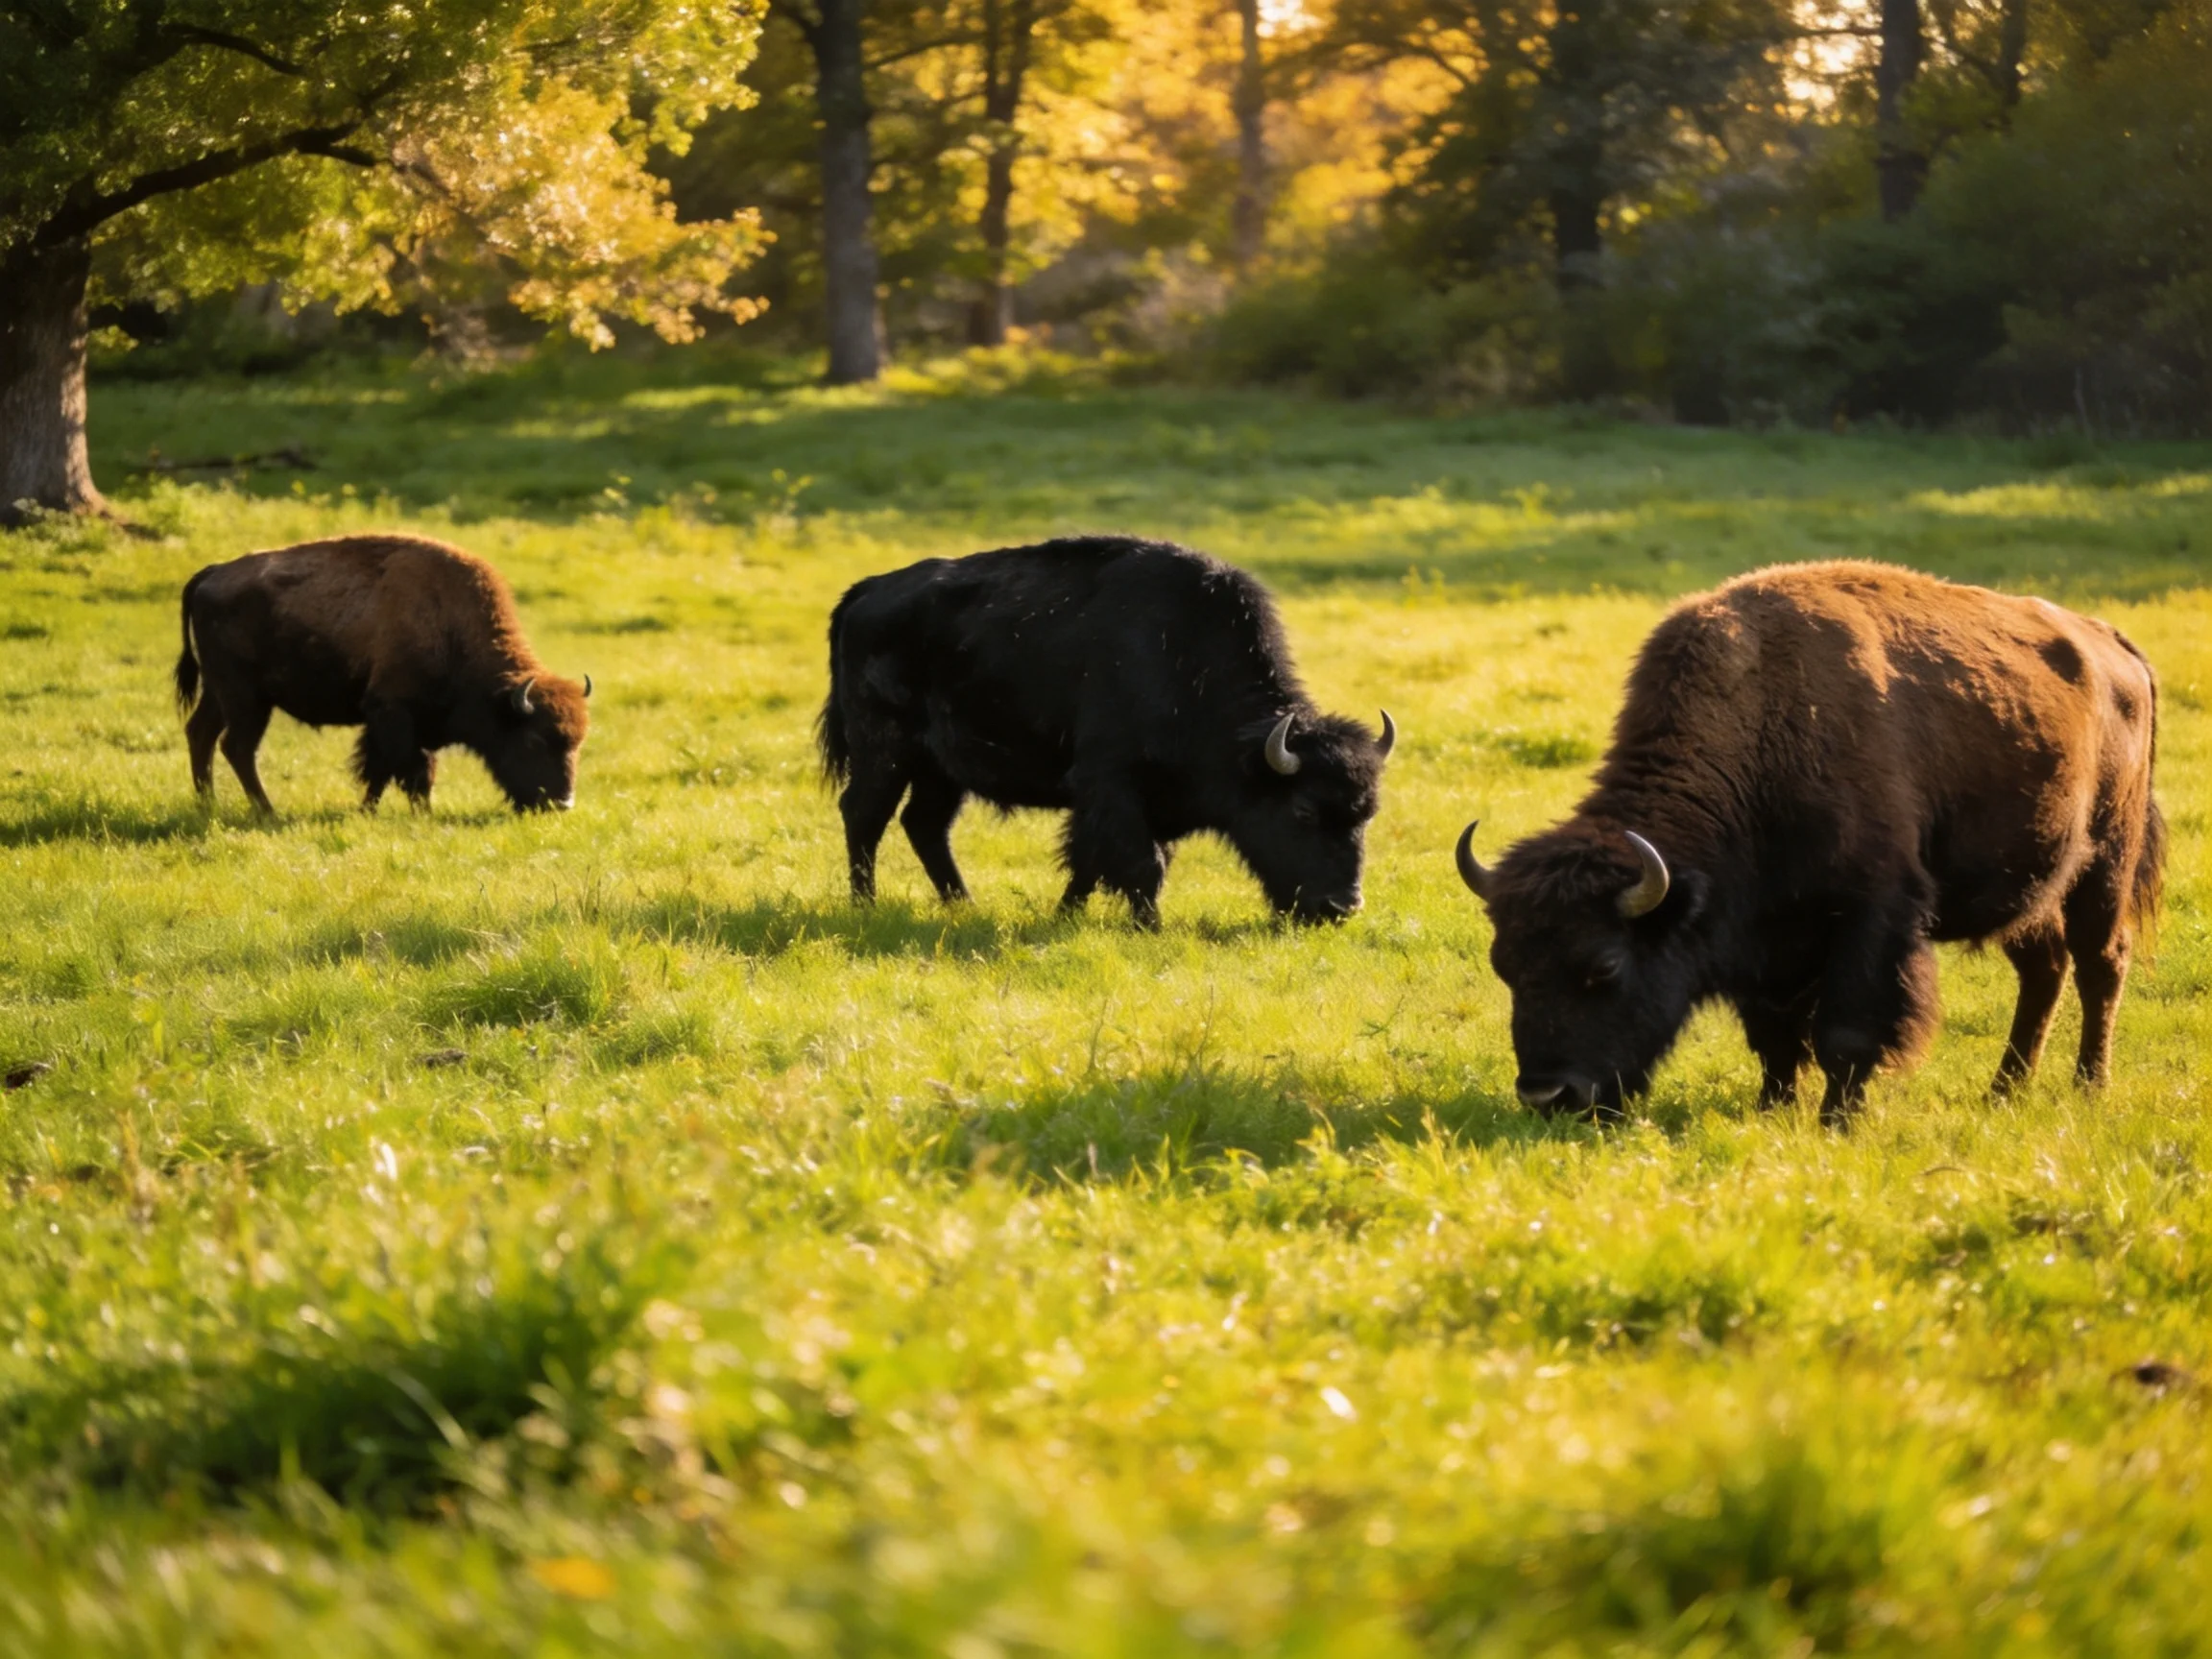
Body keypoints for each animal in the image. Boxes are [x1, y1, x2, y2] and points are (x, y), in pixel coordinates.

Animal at [175, 533, 591, 814]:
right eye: (534, 740)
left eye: (577, 744)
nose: (562, 803)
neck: (450, 625)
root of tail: (213, 573)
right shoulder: (390, 712)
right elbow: (398, 767)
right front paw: (396, 813)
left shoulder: (410, 723)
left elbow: (400, 771)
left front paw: (396, 811)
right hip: (246, 699)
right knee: (237, 747)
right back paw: (267, 812)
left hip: (220, 693)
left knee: (201, 734)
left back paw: (208, 803)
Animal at [818, 535, 1395, 925]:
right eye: (1303, 810)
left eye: (1367, 814)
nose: (1341, 907)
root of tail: (866, 592)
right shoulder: (1111, 783)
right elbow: (1139, 865)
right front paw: (1150, 929)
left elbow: (1092, 862)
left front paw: (1065, 915)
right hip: (885, 753)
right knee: (864, 816)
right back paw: (865, 905)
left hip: (941, 771)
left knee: (924, 825)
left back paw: (963, 904)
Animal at [1456, 561, 2162, 1124]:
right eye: (1504, 965)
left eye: (1603, 967)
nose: (1548, 1097)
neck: (1763, 727)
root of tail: (2114, 647)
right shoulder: (1765, 936)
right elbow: (1776, 1035)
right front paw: (1774, 1109)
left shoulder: (1871, 917)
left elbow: (1845, 1034)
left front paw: (1836, 1121)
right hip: (2032, 888)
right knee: (2044, 970)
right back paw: (2004, 1091)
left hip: (2105, 864)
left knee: (2101, 963)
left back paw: (2088, 1086)